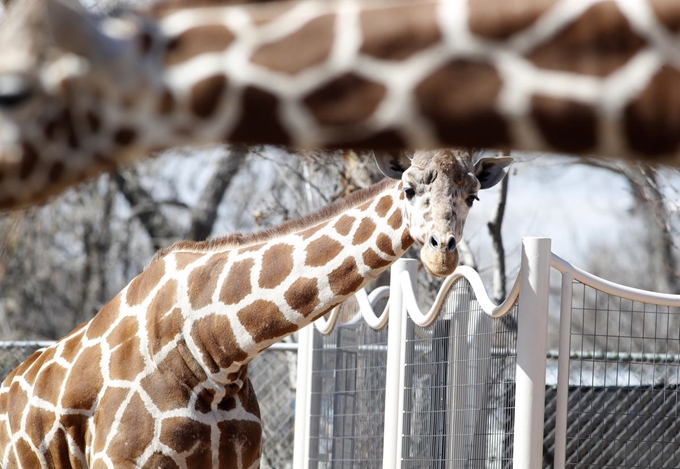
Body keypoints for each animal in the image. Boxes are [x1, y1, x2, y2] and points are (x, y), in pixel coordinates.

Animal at [0, 151, 510, 468]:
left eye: (472, 196)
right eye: (407, 188)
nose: (441, 252)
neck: (215, 353)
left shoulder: (239, 462)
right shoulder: (123, 462)